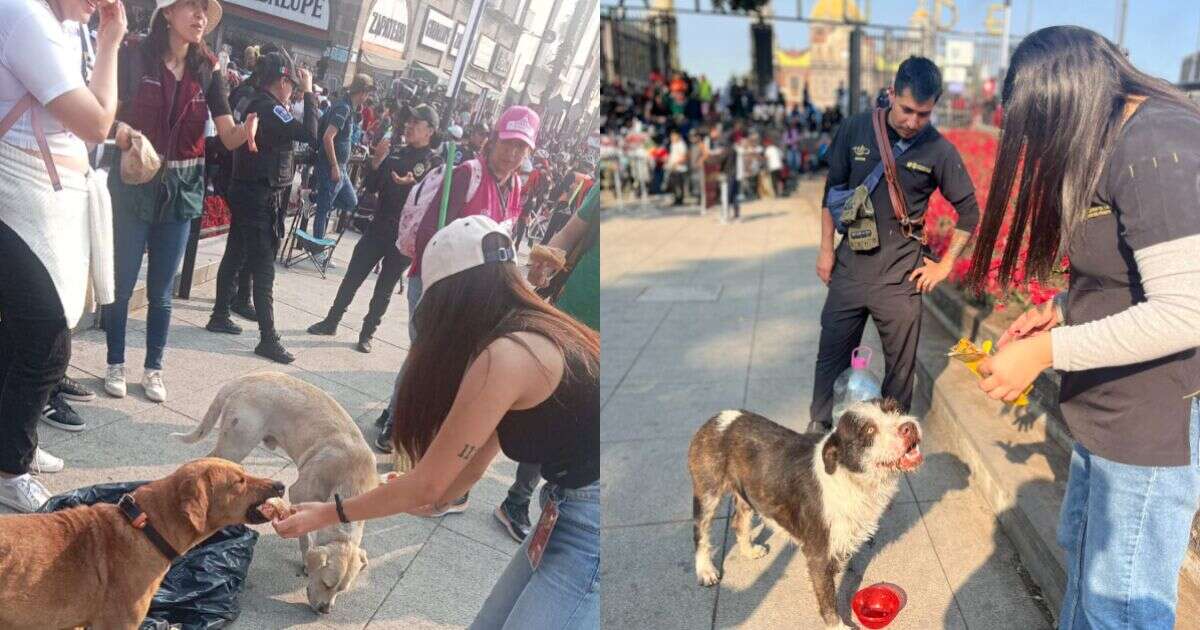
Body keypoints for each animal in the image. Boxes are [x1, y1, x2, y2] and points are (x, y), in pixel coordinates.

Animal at [691, 400, 921, 624]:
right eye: (869, 430)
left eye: (895, 409)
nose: (909, 427)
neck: (850, 479)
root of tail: (719, 417)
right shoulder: (817, 555)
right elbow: (828, 600)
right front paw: (837, 625)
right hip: (708, 493)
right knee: (700, 533)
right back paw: (705, 570)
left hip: (748, 491)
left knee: (739, 521)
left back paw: (748, 551)